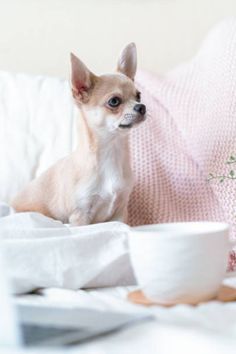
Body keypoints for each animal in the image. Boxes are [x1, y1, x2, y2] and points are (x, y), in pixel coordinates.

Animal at [12, 42, 147, 225]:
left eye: (138, 96)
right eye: (114, 101)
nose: (142, 107)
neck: (112, 150)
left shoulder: (120, 212)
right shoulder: (80, 215)